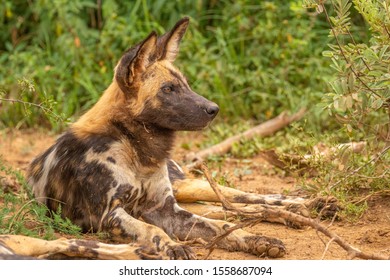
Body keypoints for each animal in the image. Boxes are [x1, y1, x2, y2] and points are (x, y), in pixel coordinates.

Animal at [25, 17, 284, 260]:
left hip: (188, 186)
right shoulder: (109, 215)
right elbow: (152, 230)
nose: (214, 109)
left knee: (243, 198)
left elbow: (220, 226)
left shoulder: (165, 209)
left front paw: (255, 239)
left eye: (186, 85)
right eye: (168, 89)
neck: (135, 148)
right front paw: (174, 247)